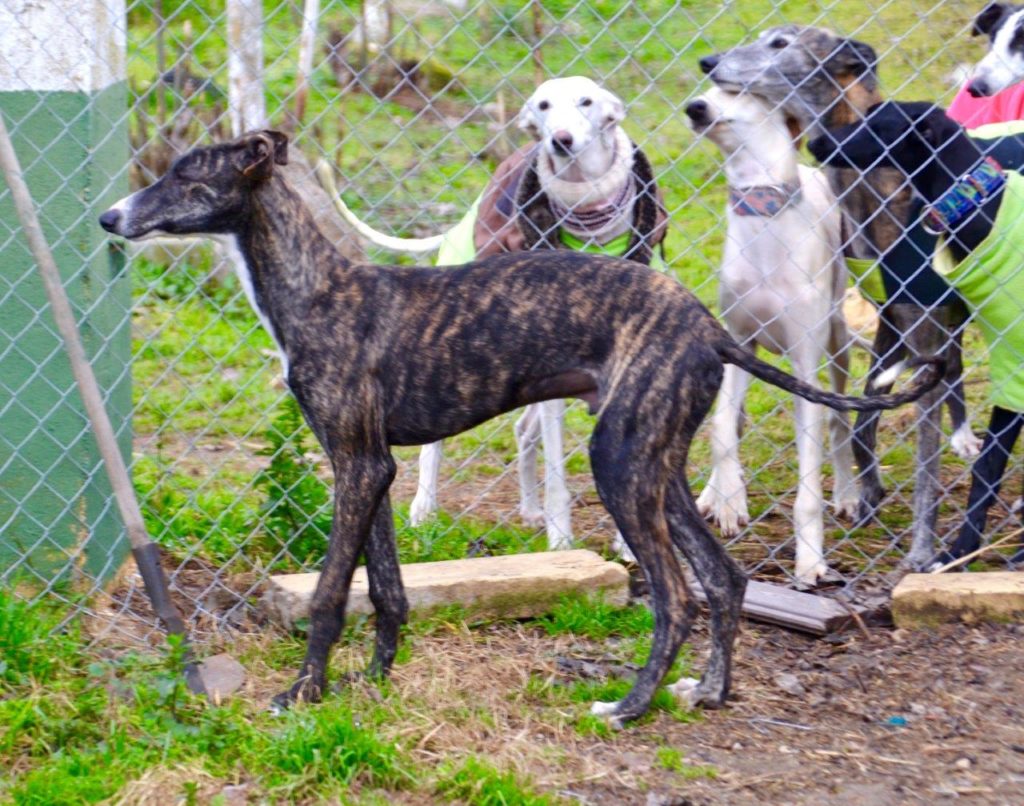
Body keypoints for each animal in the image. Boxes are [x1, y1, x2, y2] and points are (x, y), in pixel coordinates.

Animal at [325, 75, 663, 557]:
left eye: (586, 101)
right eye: (543, 105)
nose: (561, 141)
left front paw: (629, 545)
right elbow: (558, 476)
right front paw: (562, 544)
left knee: (523, 430)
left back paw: (529, 510)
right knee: (436, 445)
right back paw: (424, 509)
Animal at [684, 88, 860, 585]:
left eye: (738, 89)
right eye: (709, 87)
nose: (694, 107)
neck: (763, 216)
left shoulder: (805, 368)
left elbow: (808, 492)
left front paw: (811, 561)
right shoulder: (738, 344)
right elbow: (723, 428)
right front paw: (729, 501)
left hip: (837, 342)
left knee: (840, 422)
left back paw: (847, 493)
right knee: (733, 420)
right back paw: (713, 494)